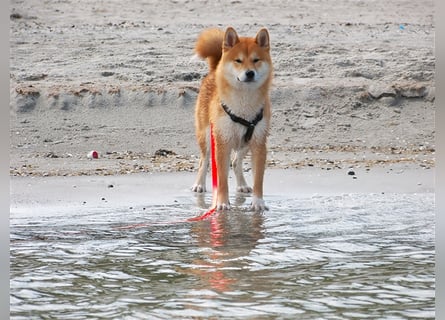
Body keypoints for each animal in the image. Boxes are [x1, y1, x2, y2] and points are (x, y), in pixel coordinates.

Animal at [190, 26, 272, 211]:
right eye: (238, 61)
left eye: (256, 60)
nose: (250, 73)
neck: (243, 105)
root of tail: (214, 71)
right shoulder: (222, 142)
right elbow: (221, 180)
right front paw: (221, 202)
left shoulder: (259, 143)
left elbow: (259, 179)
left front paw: (258, 202)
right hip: (206, 137)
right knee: (204, 161)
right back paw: (199, 184)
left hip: (245, 142)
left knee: (235, 162)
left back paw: (242, 184)